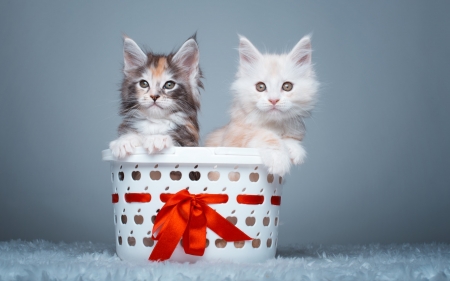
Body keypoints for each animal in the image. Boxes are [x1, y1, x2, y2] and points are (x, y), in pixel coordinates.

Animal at [206, 35, 318, 175]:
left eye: (287, 86)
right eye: (260, 87)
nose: (274, 100)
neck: (272, 124)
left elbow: (288, 138)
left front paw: (294, 149)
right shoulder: (232, 136)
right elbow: (263, 134)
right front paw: (278, 158)